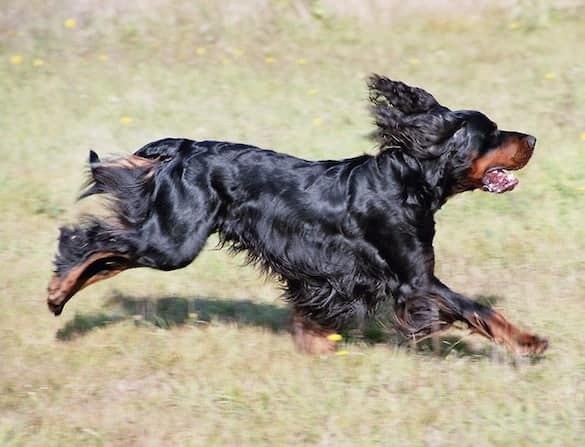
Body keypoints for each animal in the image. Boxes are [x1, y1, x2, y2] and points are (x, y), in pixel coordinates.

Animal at [45, 78, 548, 356]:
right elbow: (478, 308)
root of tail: (184, 148)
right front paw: (529, 342)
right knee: (89, 241)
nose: (533, 139)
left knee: (108, 256)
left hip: (169, 237)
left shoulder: (336, 274)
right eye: (492, 132)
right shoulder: (416, 280)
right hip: (174, 241)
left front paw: (314, 343)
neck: (408, 180)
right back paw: (56, 292)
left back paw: (61, 297)